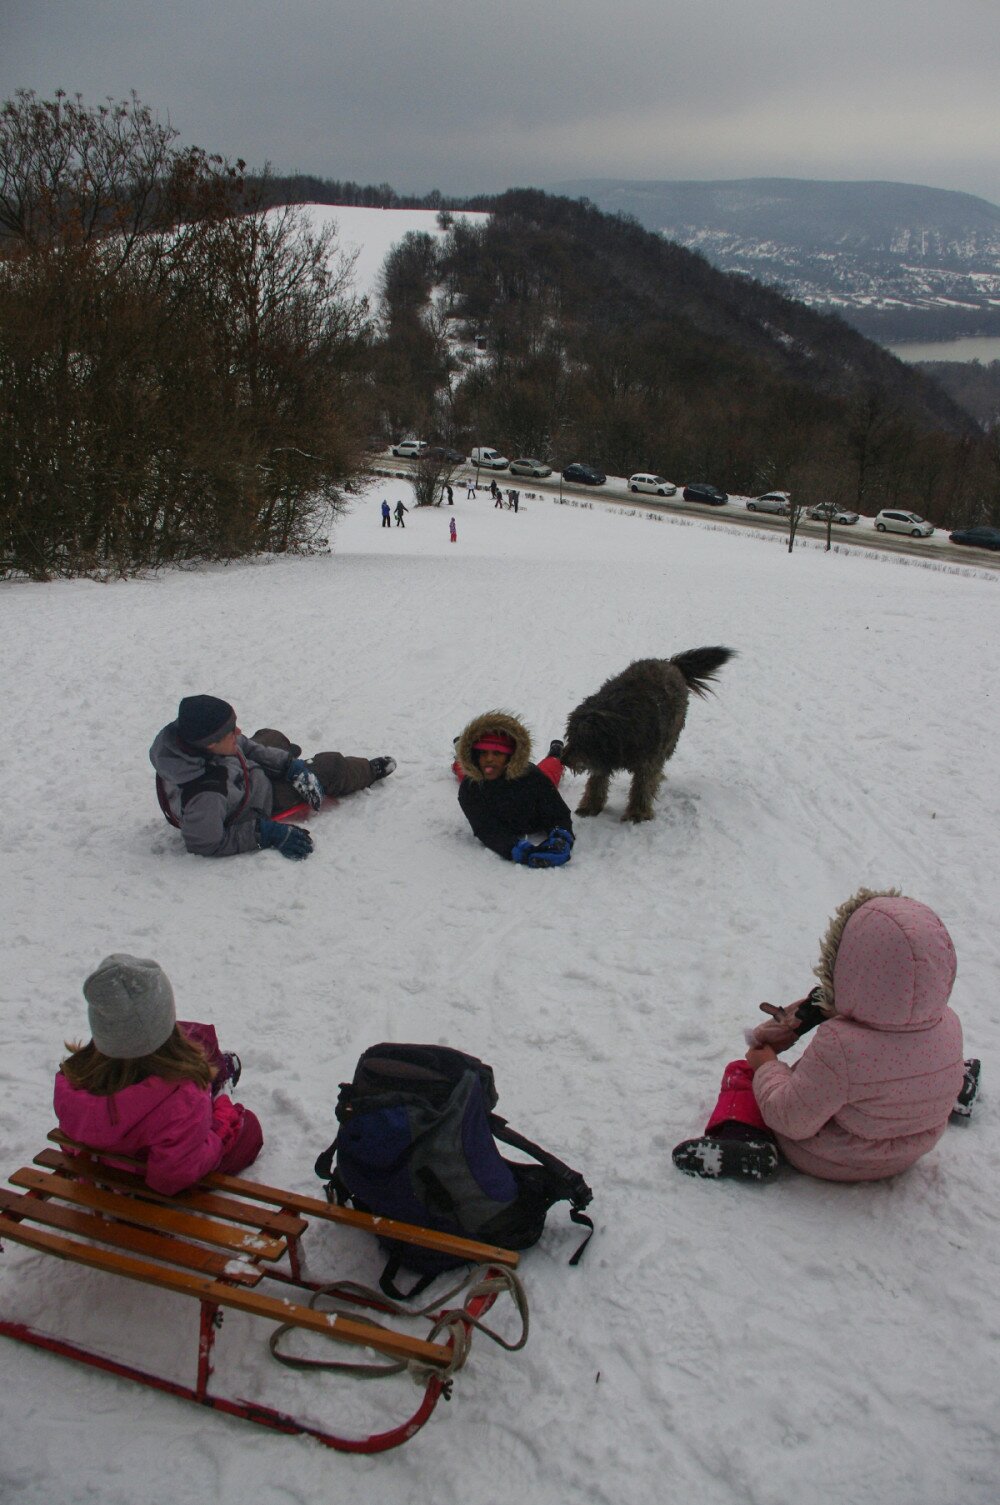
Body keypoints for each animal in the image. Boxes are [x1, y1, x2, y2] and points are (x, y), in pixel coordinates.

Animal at [563, 647, 734, 824]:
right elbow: (596, 782)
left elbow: (642, 786)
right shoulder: (601, 760)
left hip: (669, 739)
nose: (563, 760)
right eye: (571, 737)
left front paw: (637, 812)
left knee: (657, 768)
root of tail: (670, 663)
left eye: (583, 741)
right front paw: (590, 806)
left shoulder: (647, 760)